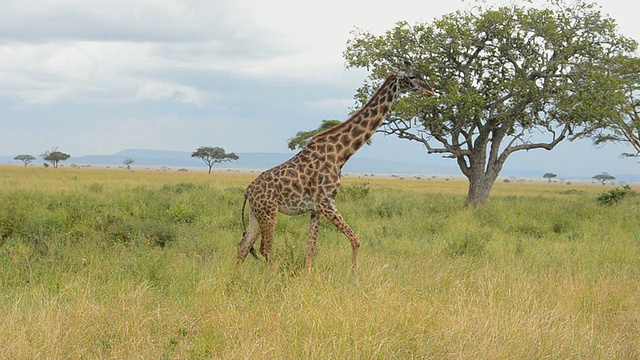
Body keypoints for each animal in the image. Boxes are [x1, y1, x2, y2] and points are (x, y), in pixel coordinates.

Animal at [236, 66, 436, 272]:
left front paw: (307, 276)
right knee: (265, 249)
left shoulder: (316, 208)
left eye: (420, 74)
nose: (430, 91)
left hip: (256, 214)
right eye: (411, 76)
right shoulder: (327, 202)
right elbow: (355, 239)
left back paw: (237, 278)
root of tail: (248, 190)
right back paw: (273, 277)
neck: (341, 153)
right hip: (269, 212)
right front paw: (354, 276)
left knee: (244, 245)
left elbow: (311, 247)